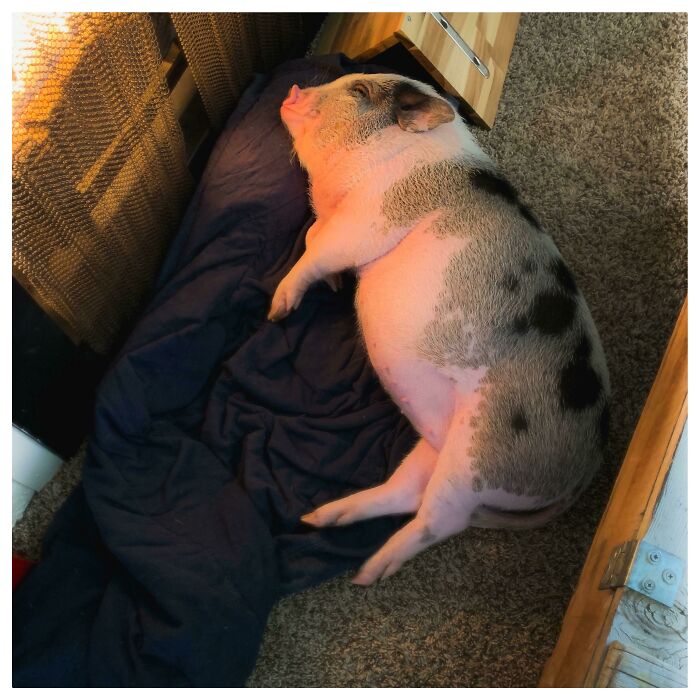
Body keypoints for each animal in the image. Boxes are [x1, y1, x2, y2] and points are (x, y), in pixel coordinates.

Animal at [270, 73, 610, 586]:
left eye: (360, 93)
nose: (292, 89)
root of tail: (583, 471)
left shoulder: (368, 219)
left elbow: (318, 251)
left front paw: (276, 311)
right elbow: (313, 239)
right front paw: (332, 285)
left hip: (483, 452)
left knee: (440, 520)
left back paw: (368, 572)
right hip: (439, 441)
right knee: (406, 492)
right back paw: (319, 518)